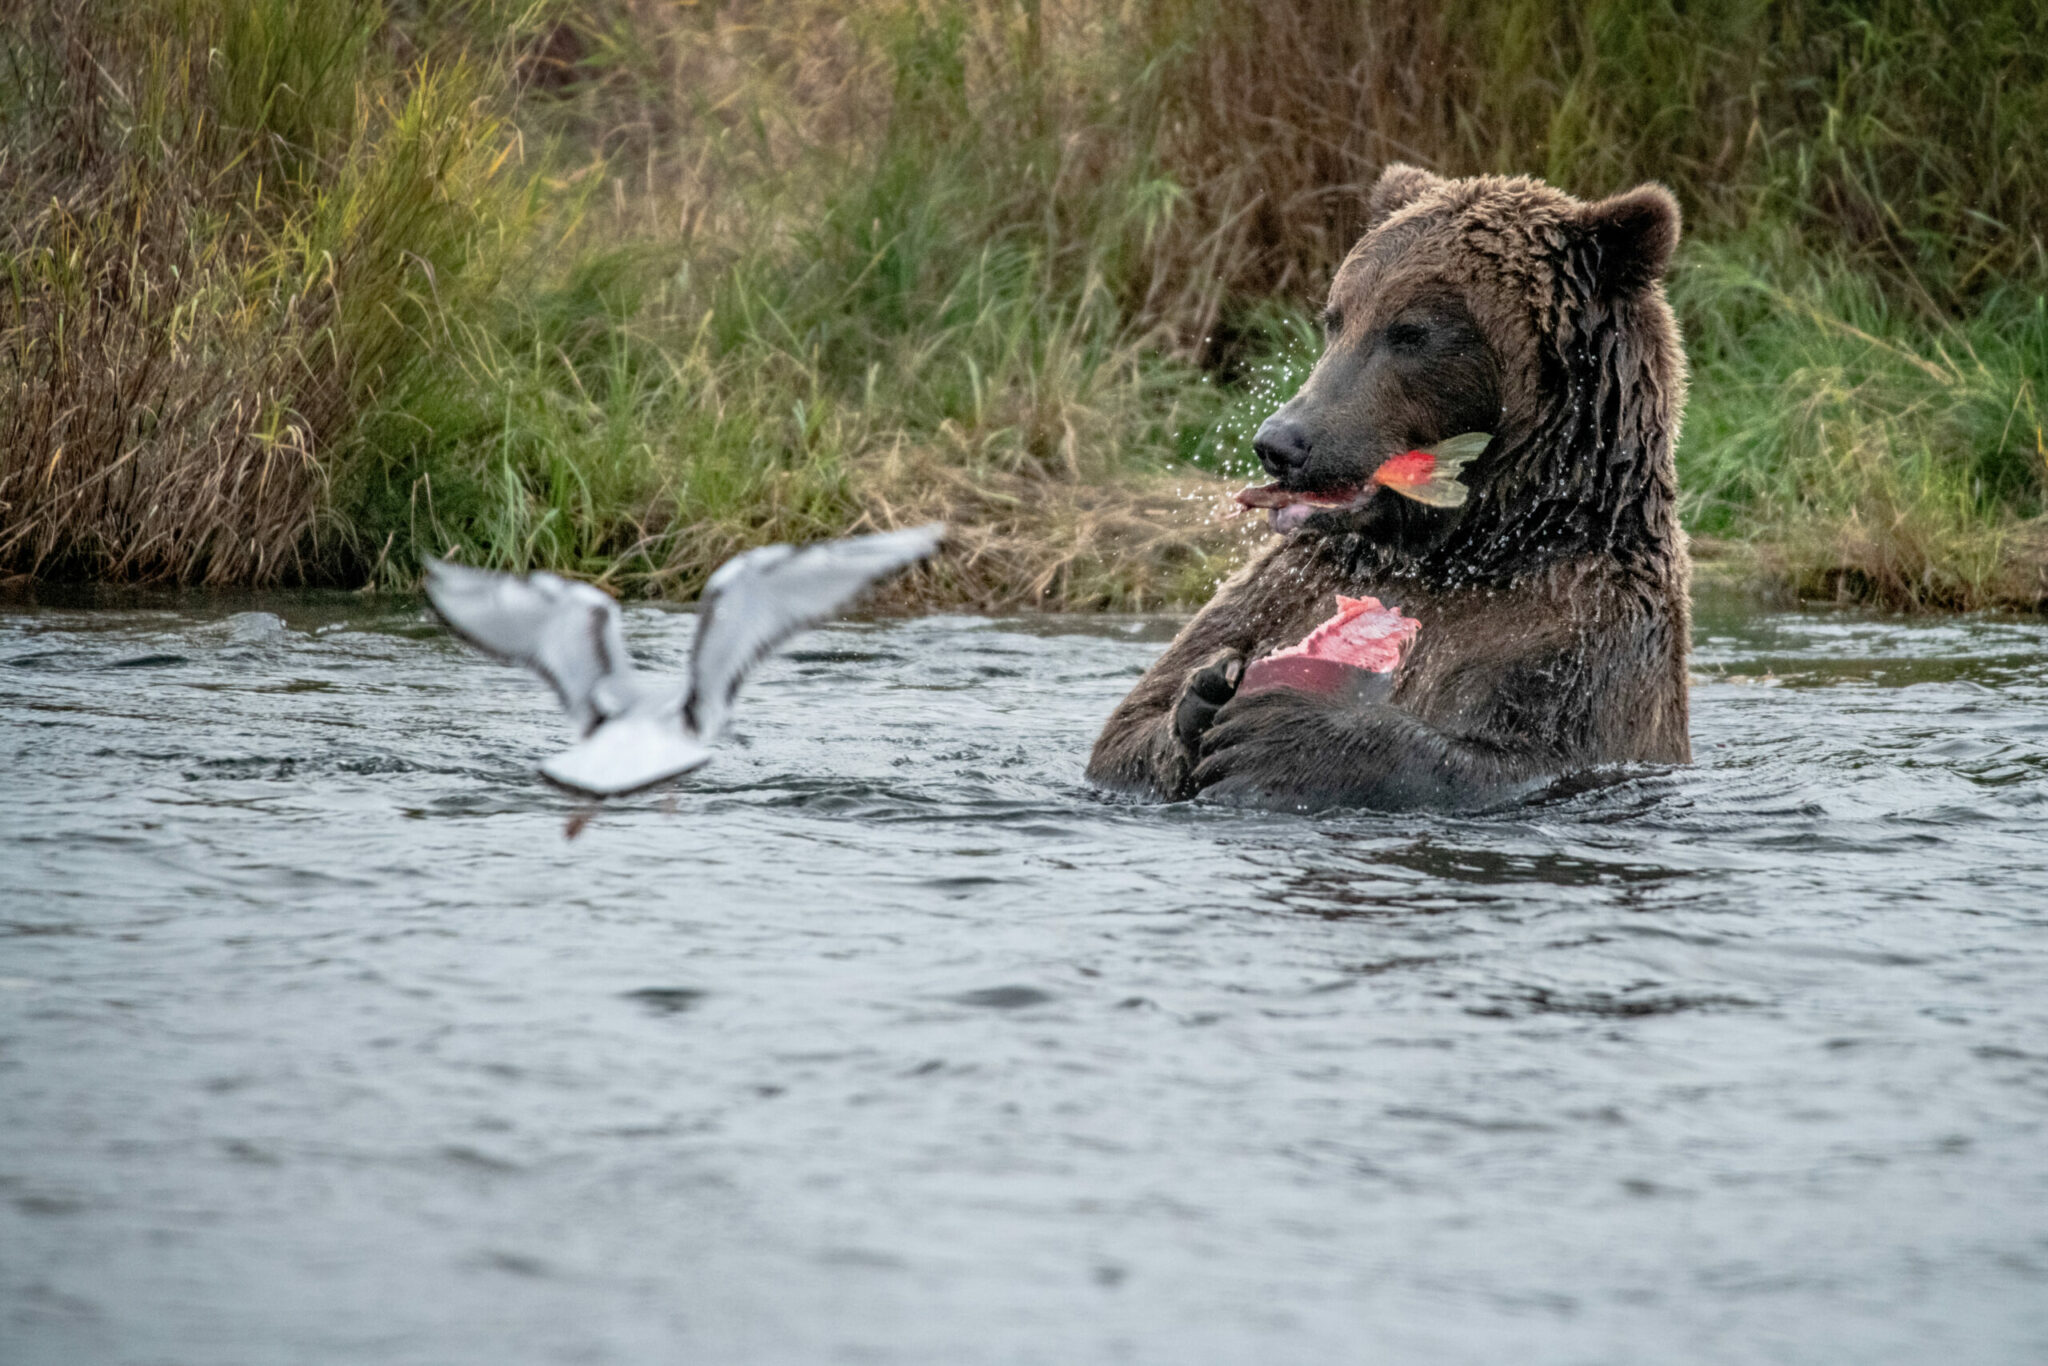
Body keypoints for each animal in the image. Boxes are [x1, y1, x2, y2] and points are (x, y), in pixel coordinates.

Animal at [1089, 169, 1695, 810]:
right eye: (1336, 317)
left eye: (1411, 331)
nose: (1281, 441)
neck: (1474, 548)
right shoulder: (1286, 586)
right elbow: (1128, 728)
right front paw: (1206, 691)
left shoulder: (1588, 634)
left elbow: (1536, 759)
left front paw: (1276, 733)